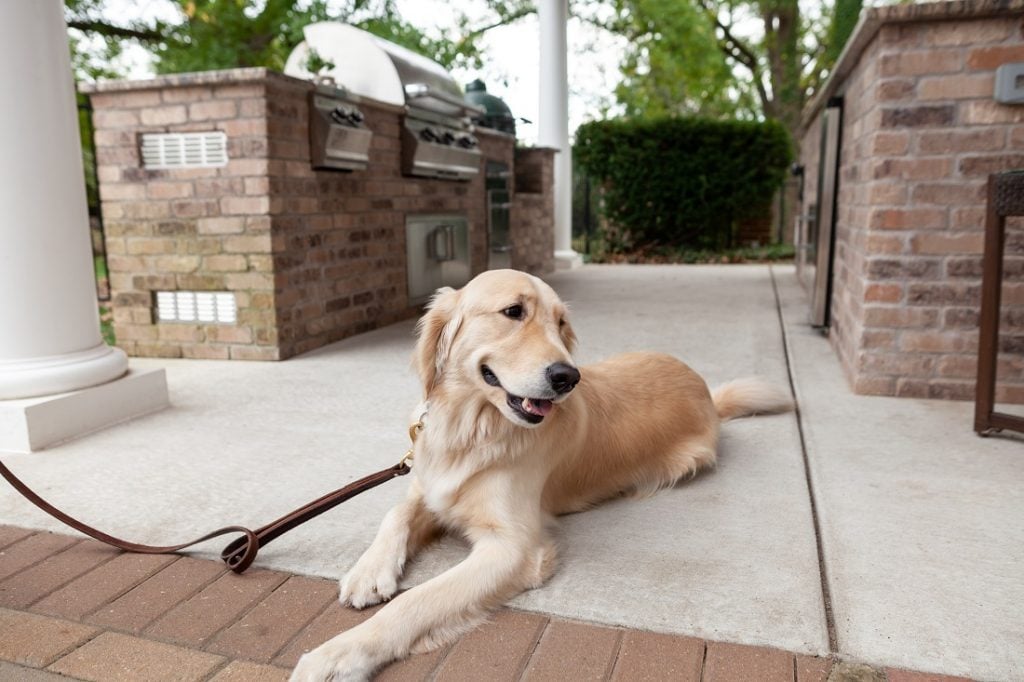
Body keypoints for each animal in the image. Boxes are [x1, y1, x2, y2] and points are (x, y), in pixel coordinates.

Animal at [292, 268, 794, 675]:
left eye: (561, 324)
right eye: (513, 312)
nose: (567, 377)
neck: (474, 428)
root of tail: (705, 387)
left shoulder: (513, 548)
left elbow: (418, 599)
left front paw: (339, 654)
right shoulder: (432, 485)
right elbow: (395, 514)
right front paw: (369, 570)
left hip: (691, 458)